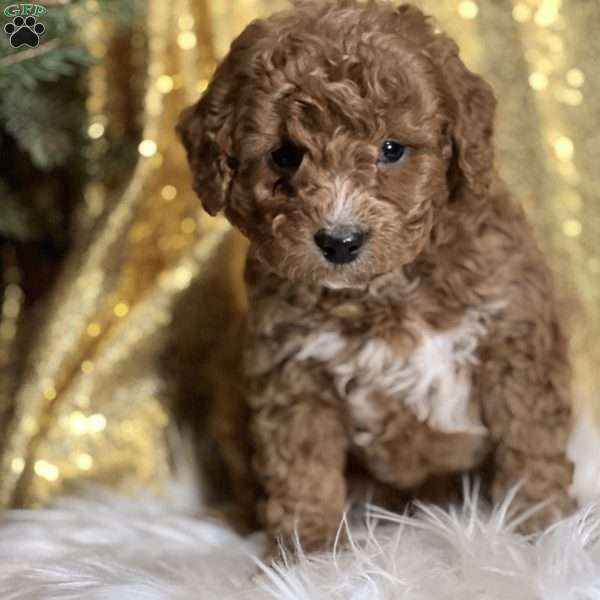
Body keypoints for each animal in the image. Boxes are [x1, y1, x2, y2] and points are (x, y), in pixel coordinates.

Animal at [179, 0, 580, 552]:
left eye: (392, 149)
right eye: (284, 155)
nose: (340, 241)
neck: (385, 287)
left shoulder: (512, 334)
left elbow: (528, 437)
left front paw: (539, 528)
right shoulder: (292, 367)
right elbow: (301, 464)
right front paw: (308, 550)